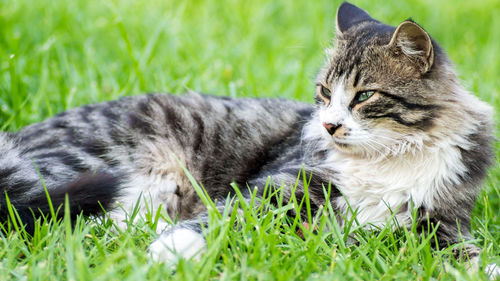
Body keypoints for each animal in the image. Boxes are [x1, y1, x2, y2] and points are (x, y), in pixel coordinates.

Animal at [0, 0, 496, 276]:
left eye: (364, 95)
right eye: (324, 93)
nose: (329, 125)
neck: (388, 156)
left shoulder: (440, 223)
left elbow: (465, 253)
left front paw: (485, 268)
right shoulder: (284, 182)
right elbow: (224, 216)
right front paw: (169, 252)